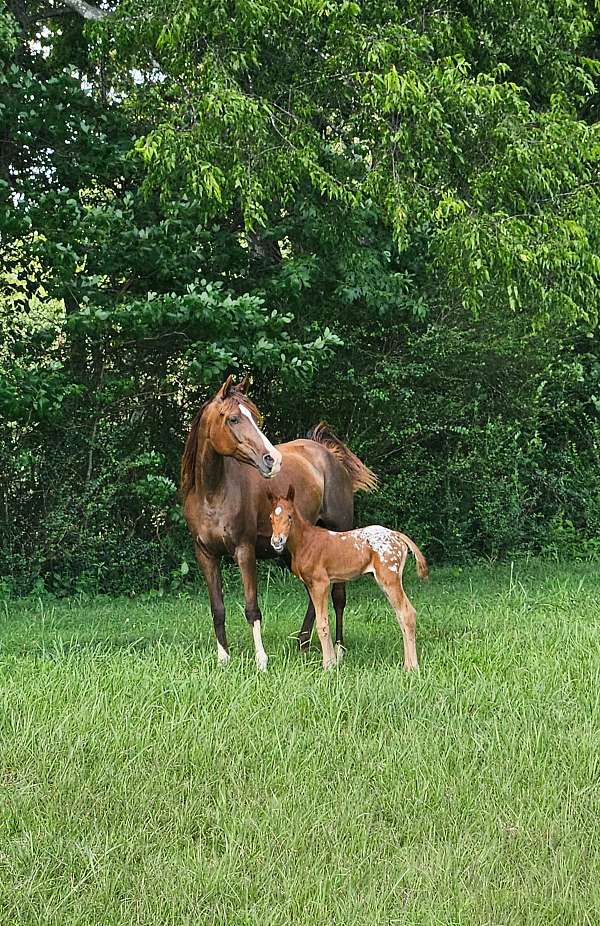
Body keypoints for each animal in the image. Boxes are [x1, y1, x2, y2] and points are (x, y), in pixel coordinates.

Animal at [180, 375, 377, 669]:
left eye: (255, 417)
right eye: (233, 419)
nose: (272, 460)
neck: (213, 493)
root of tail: (328, 453)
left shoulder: (244, 551)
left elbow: (252, 608)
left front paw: (261, 660)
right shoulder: (205, 555)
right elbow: (217, 608)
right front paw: (223, 658)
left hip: (338, 536)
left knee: (338, 596)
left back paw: (338, 649)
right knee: (314, 596)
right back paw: (303, 644)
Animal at [268, 485, 428, 670]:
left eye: (289, 516)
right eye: (271, 517)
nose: (277, 541)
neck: (305, 542)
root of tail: (397, 535)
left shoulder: (321, 583)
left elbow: (322, 624)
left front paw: (328, 666)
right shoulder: (312, 585)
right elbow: (324, 621)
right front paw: (332, 662)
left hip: (389, 578)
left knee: (407, 613)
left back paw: (412, 667)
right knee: (401, 615)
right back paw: (407, 664)